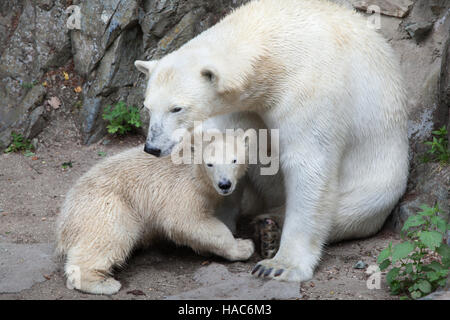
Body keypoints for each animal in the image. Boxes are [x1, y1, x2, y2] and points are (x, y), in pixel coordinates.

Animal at [133, 0, 408, 282]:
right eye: (148, 106)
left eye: (176, 108)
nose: (152, 147)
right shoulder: (243, 106)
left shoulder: (309, 87)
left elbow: (308, 164)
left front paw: (280, 265)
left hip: (380, 179)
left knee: (354, 207)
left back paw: (270, 229)